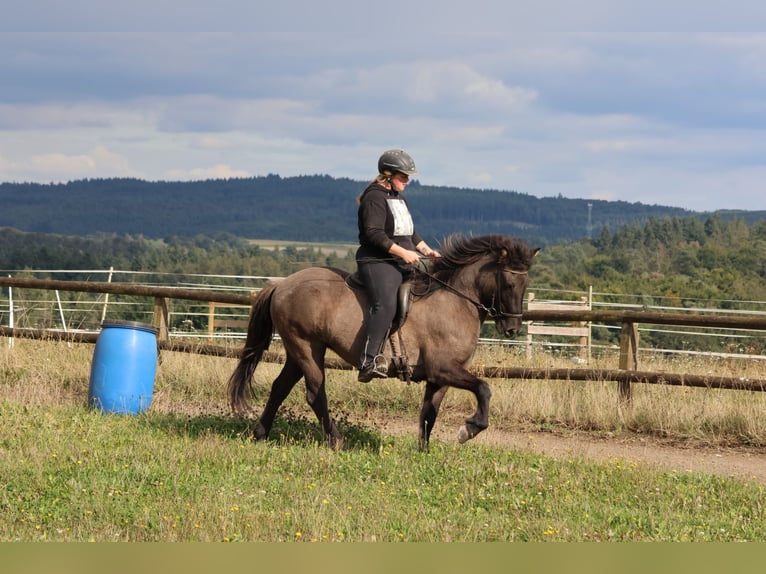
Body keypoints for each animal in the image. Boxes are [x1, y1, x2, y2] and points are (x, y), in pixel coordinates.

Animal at [226, 234, 540, 450]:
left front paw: (423, 452)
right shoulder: (444, 369)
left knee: (280, 388)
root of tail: (282, 284)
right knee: (315, 393)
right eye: (508, 283)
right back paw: (336, 441)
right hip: (306, 347)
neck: (454, 301)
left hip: (297, 351)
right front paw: (469, 430)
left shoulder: (439, 378)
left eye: (526, 285)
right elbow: (484, 389)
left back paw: (260, 434)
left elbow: (430, 413)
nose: (512, 328)